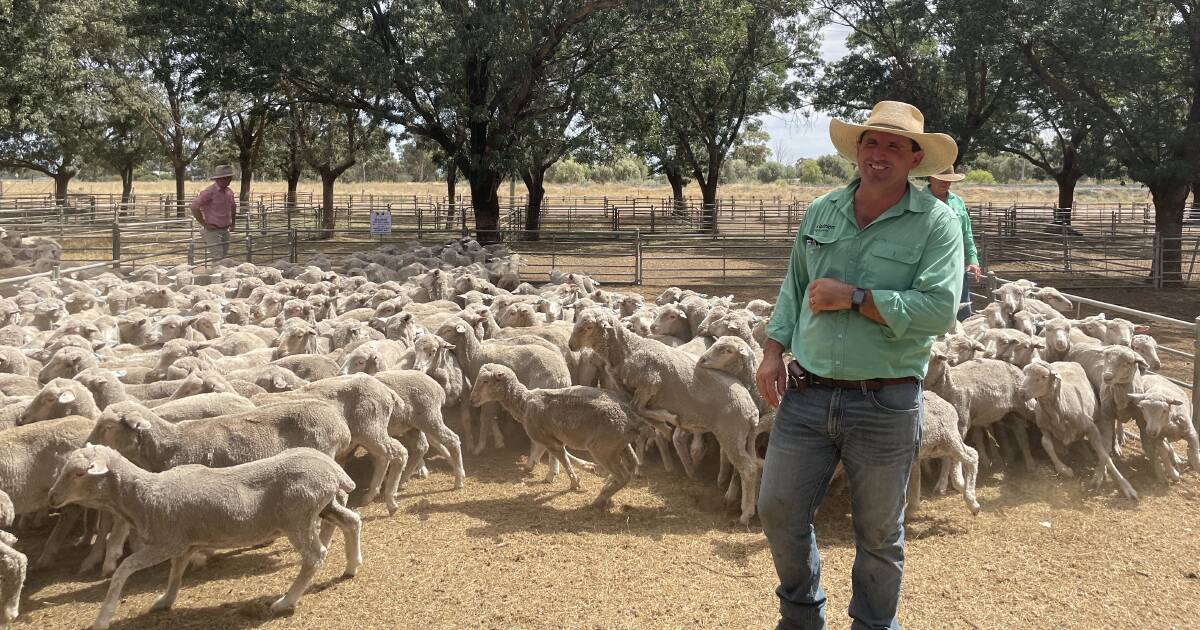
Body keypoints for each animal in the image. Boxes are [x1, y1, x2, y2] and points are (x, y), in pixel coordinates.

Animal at [566, 307, 753, 523]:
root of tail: (751, 406)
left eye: (589, 326)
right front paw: (663, 426)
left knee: (748, 468)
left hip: (731, 433)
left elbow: (640, 408)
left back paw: (745, 513)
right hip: (737, 436)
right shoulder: (633, 393)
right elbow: (639, 412)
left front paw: (667, 420)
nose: (571, 345)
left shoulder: (650, 383)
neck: (630, 349)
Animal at [1022, 357, 1132, 501]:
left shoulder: (1091, 427)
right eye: (1024, 372)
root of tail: (1066, 361)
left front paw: (1125, 485)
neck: (1059, 412)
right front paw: (1064, 469)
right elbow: (1046, 444)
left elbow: (1103, 454)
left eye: (1043, 377)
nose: (1021, 392)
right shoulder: (1044, 427)